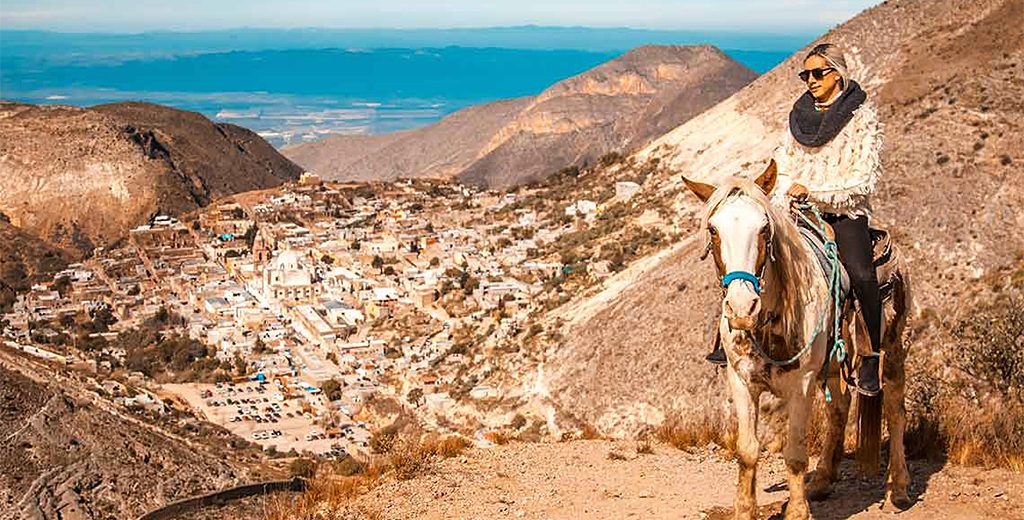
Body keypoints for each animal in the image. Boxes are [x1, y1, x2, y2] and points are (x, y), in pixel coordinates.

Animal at [682, 160, 913, 519]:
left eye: (764, 229)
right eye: (714, 230)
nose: (742, 307)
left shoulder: (801, 384)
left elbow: (794, 453)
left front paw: (796, 511)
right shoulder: (741, 381)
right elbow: (747, 450)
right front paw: (745, 509)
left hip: (890, 349)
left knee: (894, 407)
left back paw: (898, 489)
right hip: (832, 365)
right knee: (839, 407)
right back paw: (821, 480)